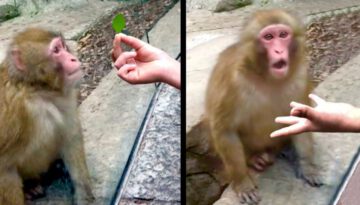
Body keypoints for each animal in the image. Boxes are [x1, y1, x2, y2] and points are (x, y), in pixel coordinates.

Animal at [0, 27, 94, 205]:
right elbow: (5, 169)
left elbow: (71, 136)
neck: (36, 90)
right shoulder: (10, 115)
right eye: (56, 50)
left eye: (63, 46)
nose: (73, 58)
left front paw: (84, 196)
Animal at [205, 9, 324, 203]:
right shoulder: (232, 82)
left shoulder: (300, 75)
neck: (267, 77)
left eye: (283, 35)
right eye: (268, 37)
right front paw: (243, 183)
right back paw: (255, 158)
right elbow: (225, 130)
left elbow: (300, 117)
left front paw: (308, 167)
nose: (278, 50)